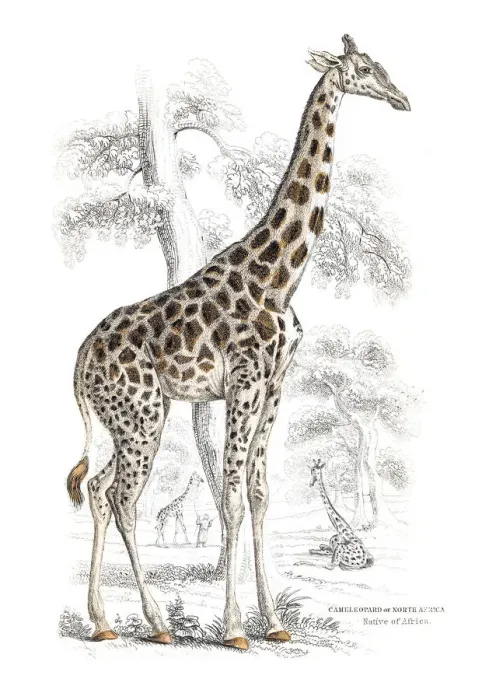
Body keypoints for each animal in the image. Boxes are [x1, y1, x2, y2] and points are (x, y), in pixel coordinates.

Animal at [66, 35, 410, 649]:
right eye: (366, 69)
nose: (401, 98)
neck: (279, 277)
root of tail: (79, 361)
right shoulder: (245, 381)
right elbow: (228, 494)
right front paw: (233, 628)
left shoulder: (275, 384)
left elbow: (258, 493)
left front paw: (274, 622)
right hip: (143, 415)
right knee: (122, 498)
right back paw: (156, 624)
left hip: (128, 419)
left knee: (100, 490)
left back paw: (103, 622)